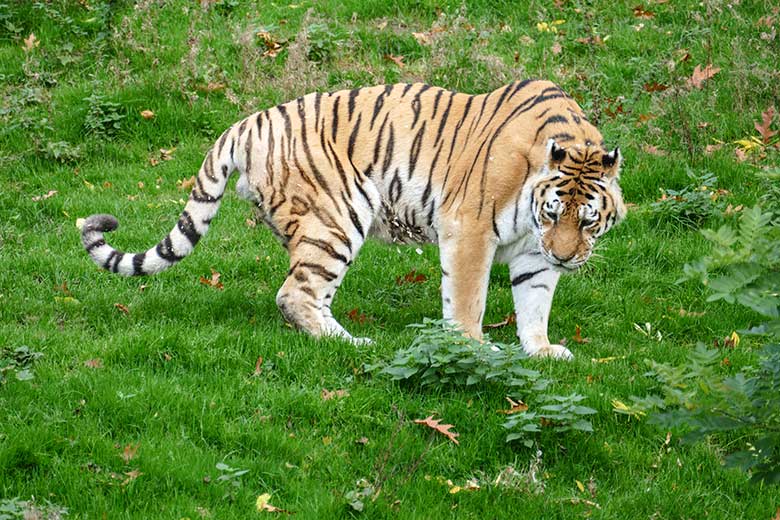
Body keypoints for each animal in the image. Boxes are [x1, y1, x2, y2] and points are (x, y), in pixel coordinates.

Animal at [80, 80, 628, 358]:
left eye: (587, 221)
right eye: (554, 212)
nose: (567, 257)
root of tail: (246, 122)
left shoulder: (536, 252)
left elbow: (535, 302)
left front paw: (540, 351)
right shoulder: (470, 230)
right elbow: (468, 301)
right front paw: (477, 351)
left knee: (306, 293)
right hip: (338, 218)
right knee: (294, 294)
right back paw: (353, 345)